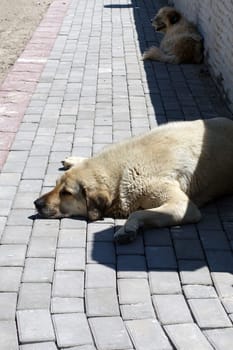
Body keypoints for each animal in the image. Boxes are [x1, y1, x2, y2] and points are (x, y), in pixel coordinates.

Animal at [34, 117, 233, 243]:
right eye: (56, 185)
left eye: (66, 193)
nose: (37, 203)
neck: (119, 171)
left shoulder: (183, 206)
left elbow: (137, 213)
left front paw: (127, 229)